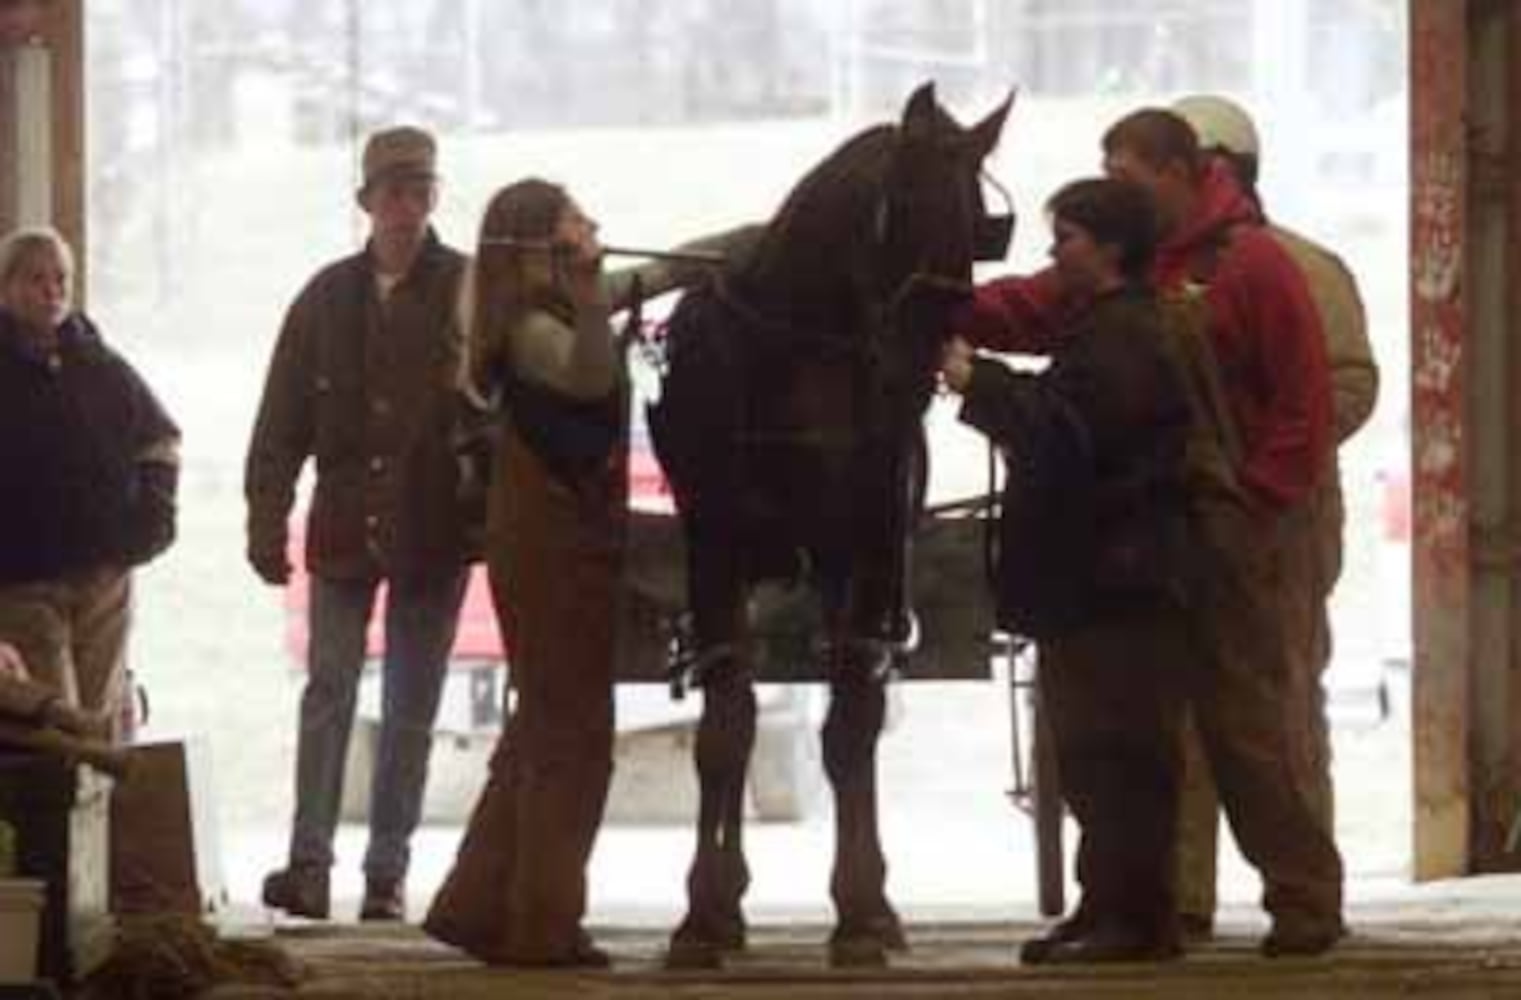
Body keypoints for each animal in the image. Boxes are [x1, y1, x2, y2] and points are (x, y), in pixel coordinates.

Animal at [644, 85, 1009, 968]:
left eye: (979, 221)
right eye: (900, 204)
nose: (919, 361)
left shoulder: (869, 547)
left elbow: (850, 728)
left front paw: (858, 912)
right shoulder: (715, 546)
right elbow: (725, 728)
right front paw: (702, 915)